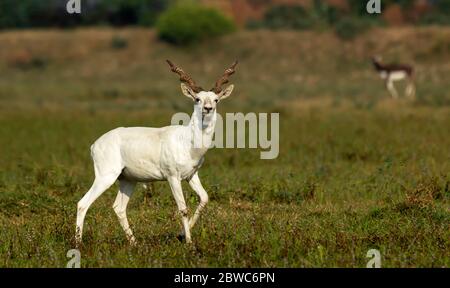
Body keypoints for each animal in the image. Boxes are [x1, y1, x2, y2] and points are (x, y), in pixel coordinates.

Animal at [75, 59, 237, 244]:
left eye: (216, 99)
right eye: (197, 99)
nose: (208, 108)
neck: (187, 142)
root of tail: (95, 144)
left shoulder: (191, 175)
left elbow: (204, 198)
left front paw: (181, 234)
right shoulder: (173, 177)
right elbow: (183, 208)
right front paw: (188, 242)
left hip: (128, 180)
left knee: (118, 208)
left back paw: (134, 243)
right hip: (106, 177)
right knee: (83, 203)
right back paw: (78, 243)